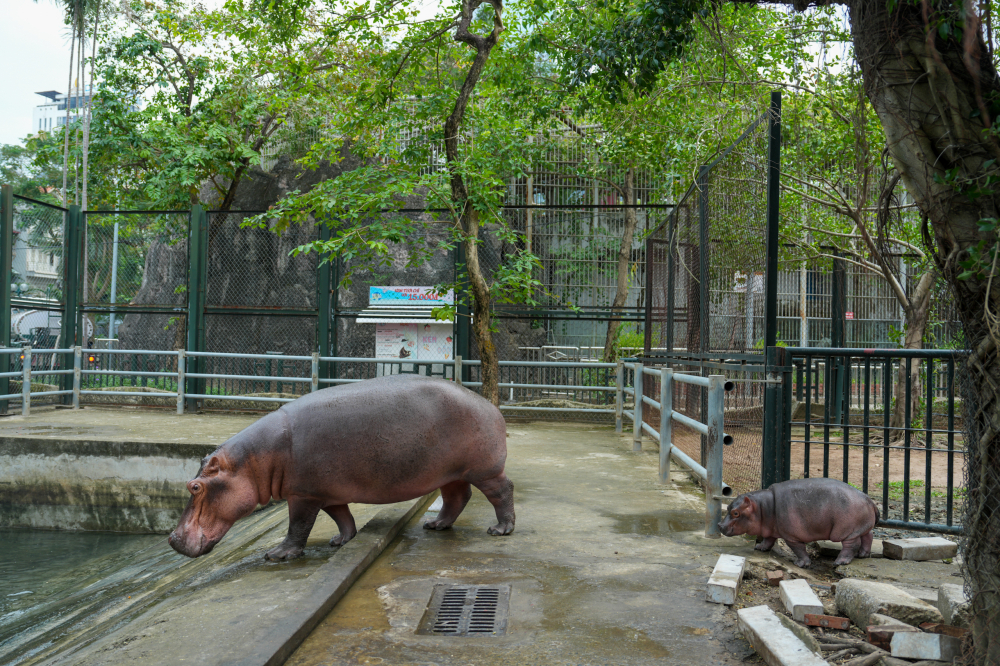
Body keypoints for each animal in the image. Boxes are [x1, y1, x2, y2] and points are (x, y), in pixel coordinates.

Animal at [168, 376, 516, 556]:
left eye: (194, 486)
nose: (171, 539)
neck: (254, 460)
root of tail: (490, 406)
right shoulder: (328, 493)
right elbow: (342, 518)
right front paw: (340, 542)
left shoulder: (303, 495)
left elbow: (298, 526)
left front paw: (278, 555)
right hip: (451, 472)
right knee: (457, 497)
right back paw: (435, 525)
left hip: (484, 469)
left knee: (502, 491)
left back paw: (500, 530)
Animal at [724, 478, 880, 564]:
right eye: (728, 507)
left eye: (736, 513)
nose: (720, 525)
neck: (762, 507)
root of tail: (869, 499)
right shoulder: (770, 529)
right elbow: (768, 540)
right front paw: (760, 548)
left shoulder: (791, 536)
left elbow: (798, 549)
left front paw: (801, 564)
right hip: (860, 527)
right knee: (868, 535)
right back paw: (862, 555)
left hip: (847, 531)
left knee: (851, 545)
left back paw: (839, 562)